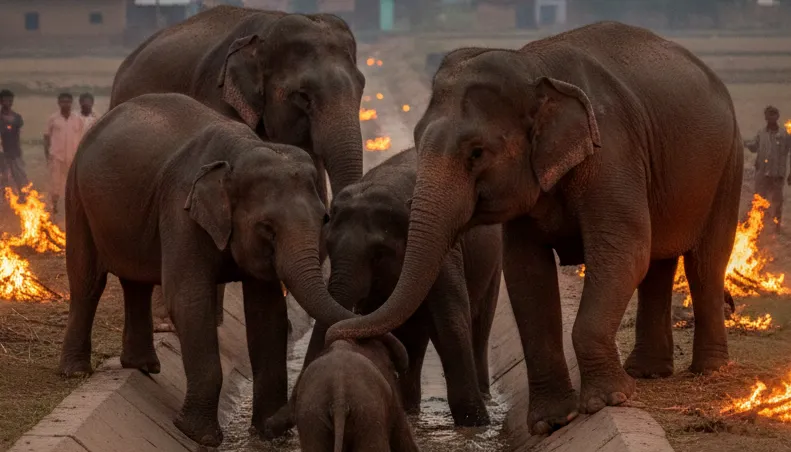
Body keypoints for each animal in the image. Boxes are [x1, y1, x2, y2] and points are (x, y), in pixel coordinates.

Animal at [58, 93, 355, 446]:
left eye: (323, 219)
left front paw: (267, 434)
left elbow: (266, 311)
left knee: (136, 281)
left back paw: (144, 366)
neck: (239, 153)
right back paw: (77, 371)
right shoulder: (180, 208)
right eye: (267, 228)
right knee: (88, 281)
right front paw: (199, 435)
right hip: (76, 193)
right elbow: (188, 298)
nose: (277, 427)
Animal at [299, 148, 500, 427]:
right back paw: (409, 407)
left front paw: (476, 423)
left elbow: (450, 317)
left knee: (479, 326)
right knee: (413, 339)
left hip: (493, 264)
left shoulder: (441, 247)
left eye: (378, 254)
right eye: (328, 246)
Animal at [325, 21, 744, 435]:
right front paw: (551, 421)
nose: (335, 335)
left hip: (728, 162)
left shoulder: (612, 151)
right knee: (658, 264)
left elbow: (623, 249)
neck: (532, 68)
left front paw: (607, 401)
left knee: (704, 263)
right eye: (416, 138)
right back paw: (647, 372)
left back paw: (709, 370)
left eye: (476, 152)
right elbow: (525, 271)